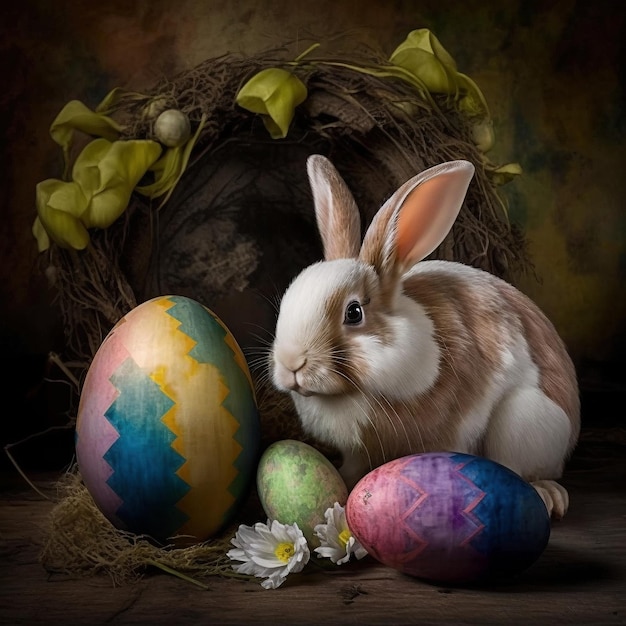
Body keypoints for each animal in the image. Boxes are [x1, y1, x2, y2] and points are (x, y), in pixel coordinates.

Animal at [270, 154, 576, 520]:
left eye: (354, 313)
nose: (292, 363)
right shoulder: (357, 451)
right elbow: (352, 468)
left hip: (524, 419)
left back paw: (547, 495)